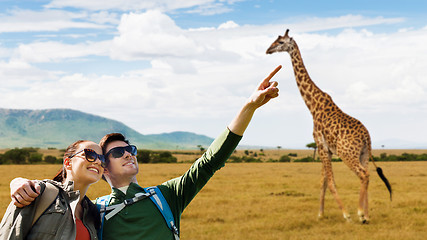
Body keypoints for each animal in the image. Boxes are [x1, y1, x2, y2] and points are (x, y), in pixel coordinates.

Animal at [266, 29, 392, 223]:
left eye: (280, 42)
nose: (268, 50)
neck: (312, 105)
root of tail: (366, 137)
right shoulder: (327, 149)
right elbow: (323, 181)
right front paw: (320, 214)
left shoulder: (321, 144)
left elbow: (330, 182)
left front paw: (346, 214)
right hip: (363, 154)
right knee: (367, 174)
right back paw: (366, 215)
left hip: (347, 154)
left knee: (363, 174)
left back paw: (359, 213)